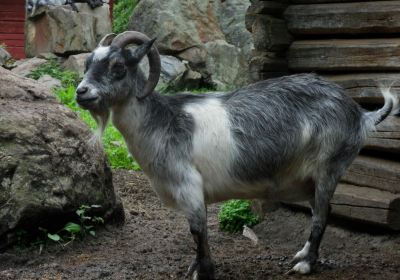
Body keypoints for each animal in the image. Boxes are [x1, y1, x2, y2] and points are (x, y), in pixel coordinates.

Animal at [76, 31, 400, 278]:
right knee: (323, 211)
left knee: (321, 214)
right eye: (88, 63)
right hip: (311, 178)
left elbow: (197, 230)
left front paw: (203, 270)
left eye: (118, 66)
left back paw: (305, 265)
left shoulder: (189, 186)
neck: (163, 121)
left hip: (328, 168)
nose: (82, 92)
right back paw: (302, 254)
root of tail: (360, 115)